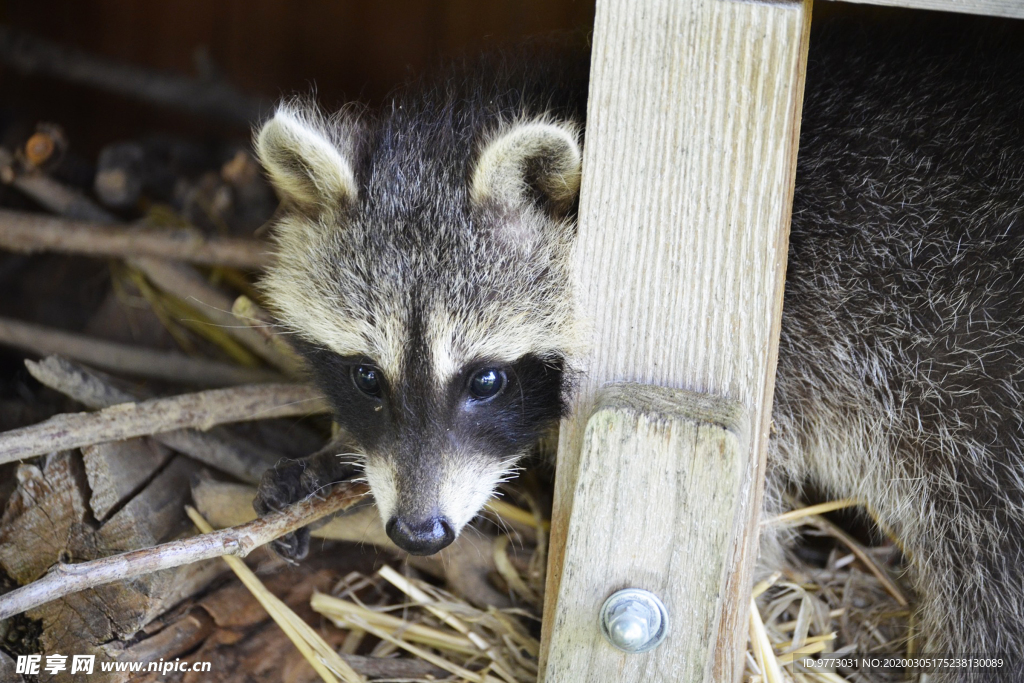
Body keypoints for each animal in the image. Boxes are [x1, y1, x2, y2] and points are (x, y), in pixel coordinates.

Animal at [251, 20, 1024, 671]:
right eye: (365, 377)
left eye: (486, 380)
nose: (418, 533)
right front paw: (332, 456)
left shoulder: (795, 361)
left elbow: (756, 530)